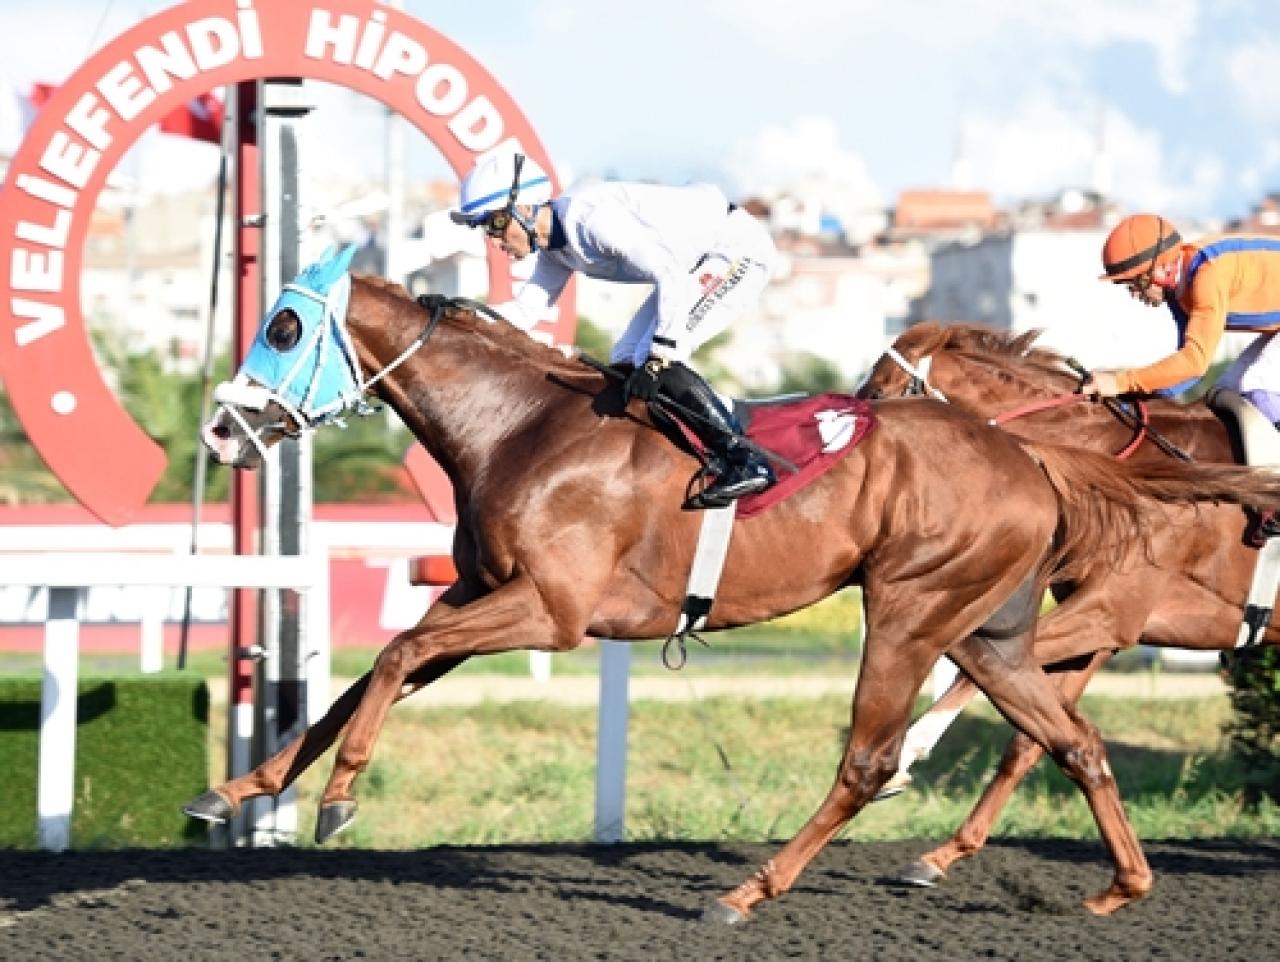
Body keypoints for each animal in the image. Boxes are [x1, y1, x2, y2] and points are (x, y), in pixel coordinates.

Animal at [858, 320, 1279, 888]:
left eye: (879, 390)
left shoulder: (1109, 612)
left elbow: (972, 669)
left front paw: (903, 758)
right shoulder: (1101, 626)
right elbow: (1027, 739)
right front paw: (940, 855)